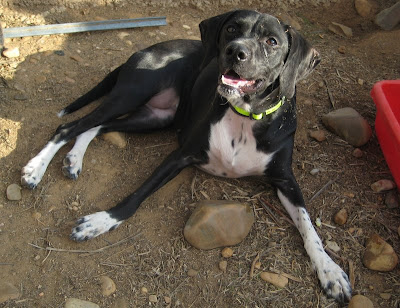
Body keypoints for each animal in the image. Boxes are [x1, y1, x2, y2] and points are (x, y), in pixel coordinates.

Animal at [22, 10, 350, 304]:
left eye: (272, 41)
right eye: (232, 29)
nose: (235, 51)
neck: (245, 116)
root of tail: (147, 48)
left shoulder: (285, 180)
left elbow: (309, 227)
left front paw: (331, 272)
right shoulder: (180, 156)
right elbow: (134, 197)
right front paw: (100, 222)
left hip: (155, 118)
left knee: (97, 127)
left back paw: (73, 159)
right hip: (131, 95)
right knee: (71, 126)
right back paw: (35, 169)